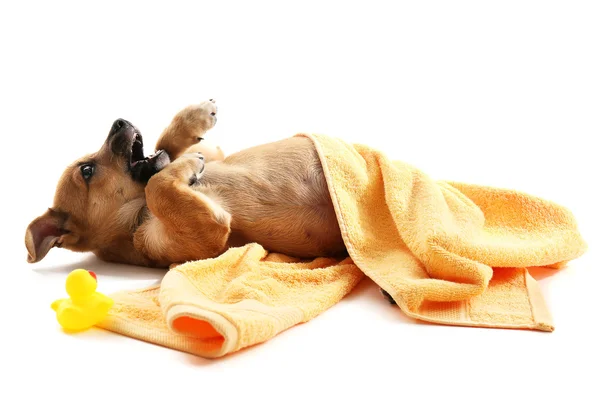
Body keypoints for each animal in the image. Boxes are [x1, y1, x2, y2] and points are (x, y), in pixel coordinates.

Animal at [25, 100, 346, 268]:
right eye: (87, 170)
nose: (119, 121)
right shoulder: (205, 234)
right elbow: (156, 185)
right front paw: (186, 164)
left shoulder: (215, 154)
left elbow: (167, 149)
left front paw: (195, 117)